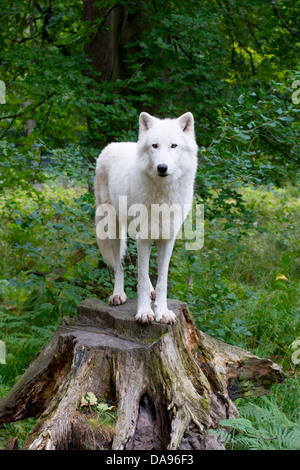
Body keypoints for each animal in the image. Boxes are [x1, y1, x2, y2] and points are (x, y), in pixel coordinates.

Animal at [94, 111, 197, 324]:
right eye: (155, 146)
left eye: (174, 145)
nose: (162, 167)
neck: (162, 195)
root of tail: (111, 145)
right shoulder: (144, 236)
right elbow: (140, 277)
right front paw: (144, 312)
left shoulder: (167, 238)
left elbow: (162, 280)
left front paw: (162, 312)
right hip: (114, 230)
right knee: (119, 265)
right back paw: (118, 294)